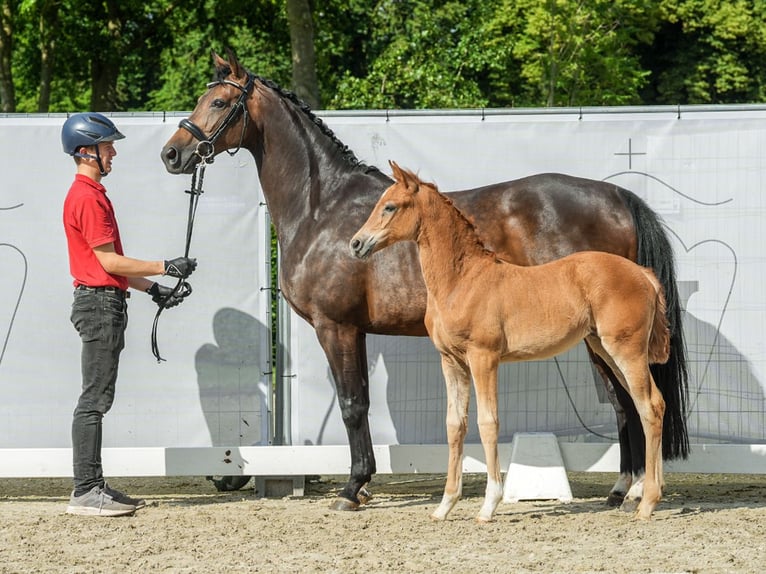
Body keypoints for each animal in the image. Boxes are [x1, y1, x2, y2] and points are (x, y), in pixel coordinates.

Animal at [352, 162, 668, 520]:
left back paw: (646, 503)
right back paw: (645, 495)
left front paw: (489, 505)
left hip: (626, 351)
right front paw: (444, 506)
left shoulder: (483, 358)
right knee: (650, 405)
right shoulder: (451, 361)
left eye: (390, 207)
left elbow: (487, 423)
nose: (356, 244)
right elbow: (455, 426)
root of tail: (643, 274)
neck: (462, 279)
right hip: (607, 350)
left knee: (650, 406)